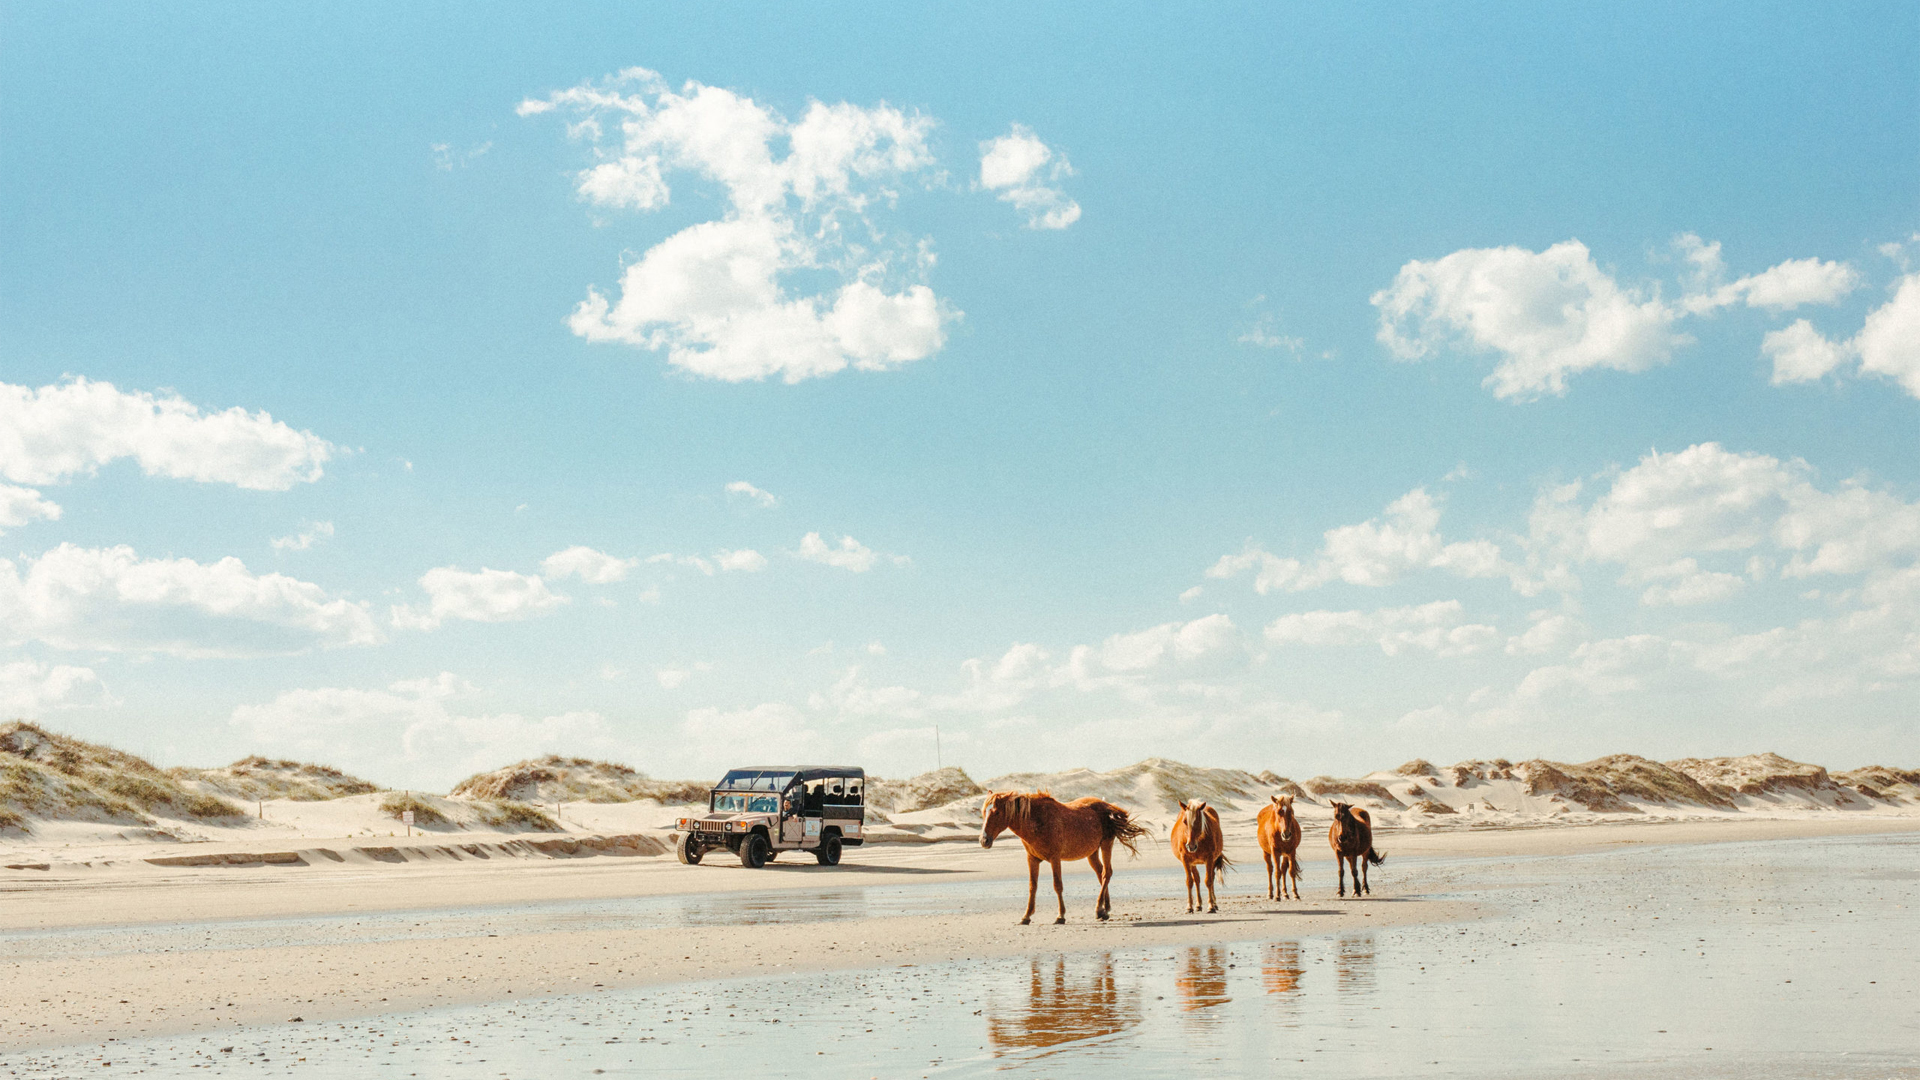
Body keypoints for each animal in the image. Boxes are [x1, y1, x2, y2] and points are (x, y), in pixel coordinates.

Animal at [983, 787, 1144, 922]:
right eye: (984, 812)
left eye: (996, 812)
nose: (984, 840)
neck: (1037, 821)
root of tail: (1108, 806)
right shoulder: (1032, 859)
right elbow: (1032, 886)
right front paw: (1026, 916)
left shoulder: (1055, 858)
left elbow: (1057, 885)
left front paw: (1060, 916)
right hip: (1092, 853)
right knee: (1101, 873)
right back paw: (1105, 909)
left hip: (1106, 845)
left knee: (1106, 873)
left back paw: (1099, 909)